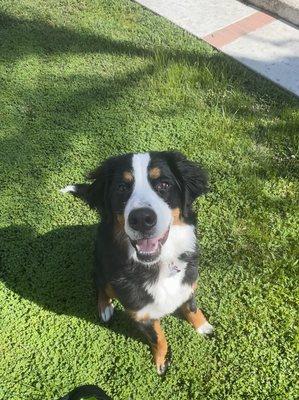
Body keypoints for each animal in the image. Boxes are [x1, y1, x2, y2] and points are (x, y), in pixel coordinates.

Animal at [62, 150, 214, 376]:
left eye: (163, 184)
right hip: (100, 264)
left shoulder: (187, 285)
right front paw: (162, 361)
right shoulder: (141, 315)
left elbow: (192, 309)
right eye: (122, 187)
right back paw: (105, 307)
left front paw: (203, 326)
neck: (158, 266)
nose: (142, 219)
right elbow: (159, 339)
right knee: (100, 285)